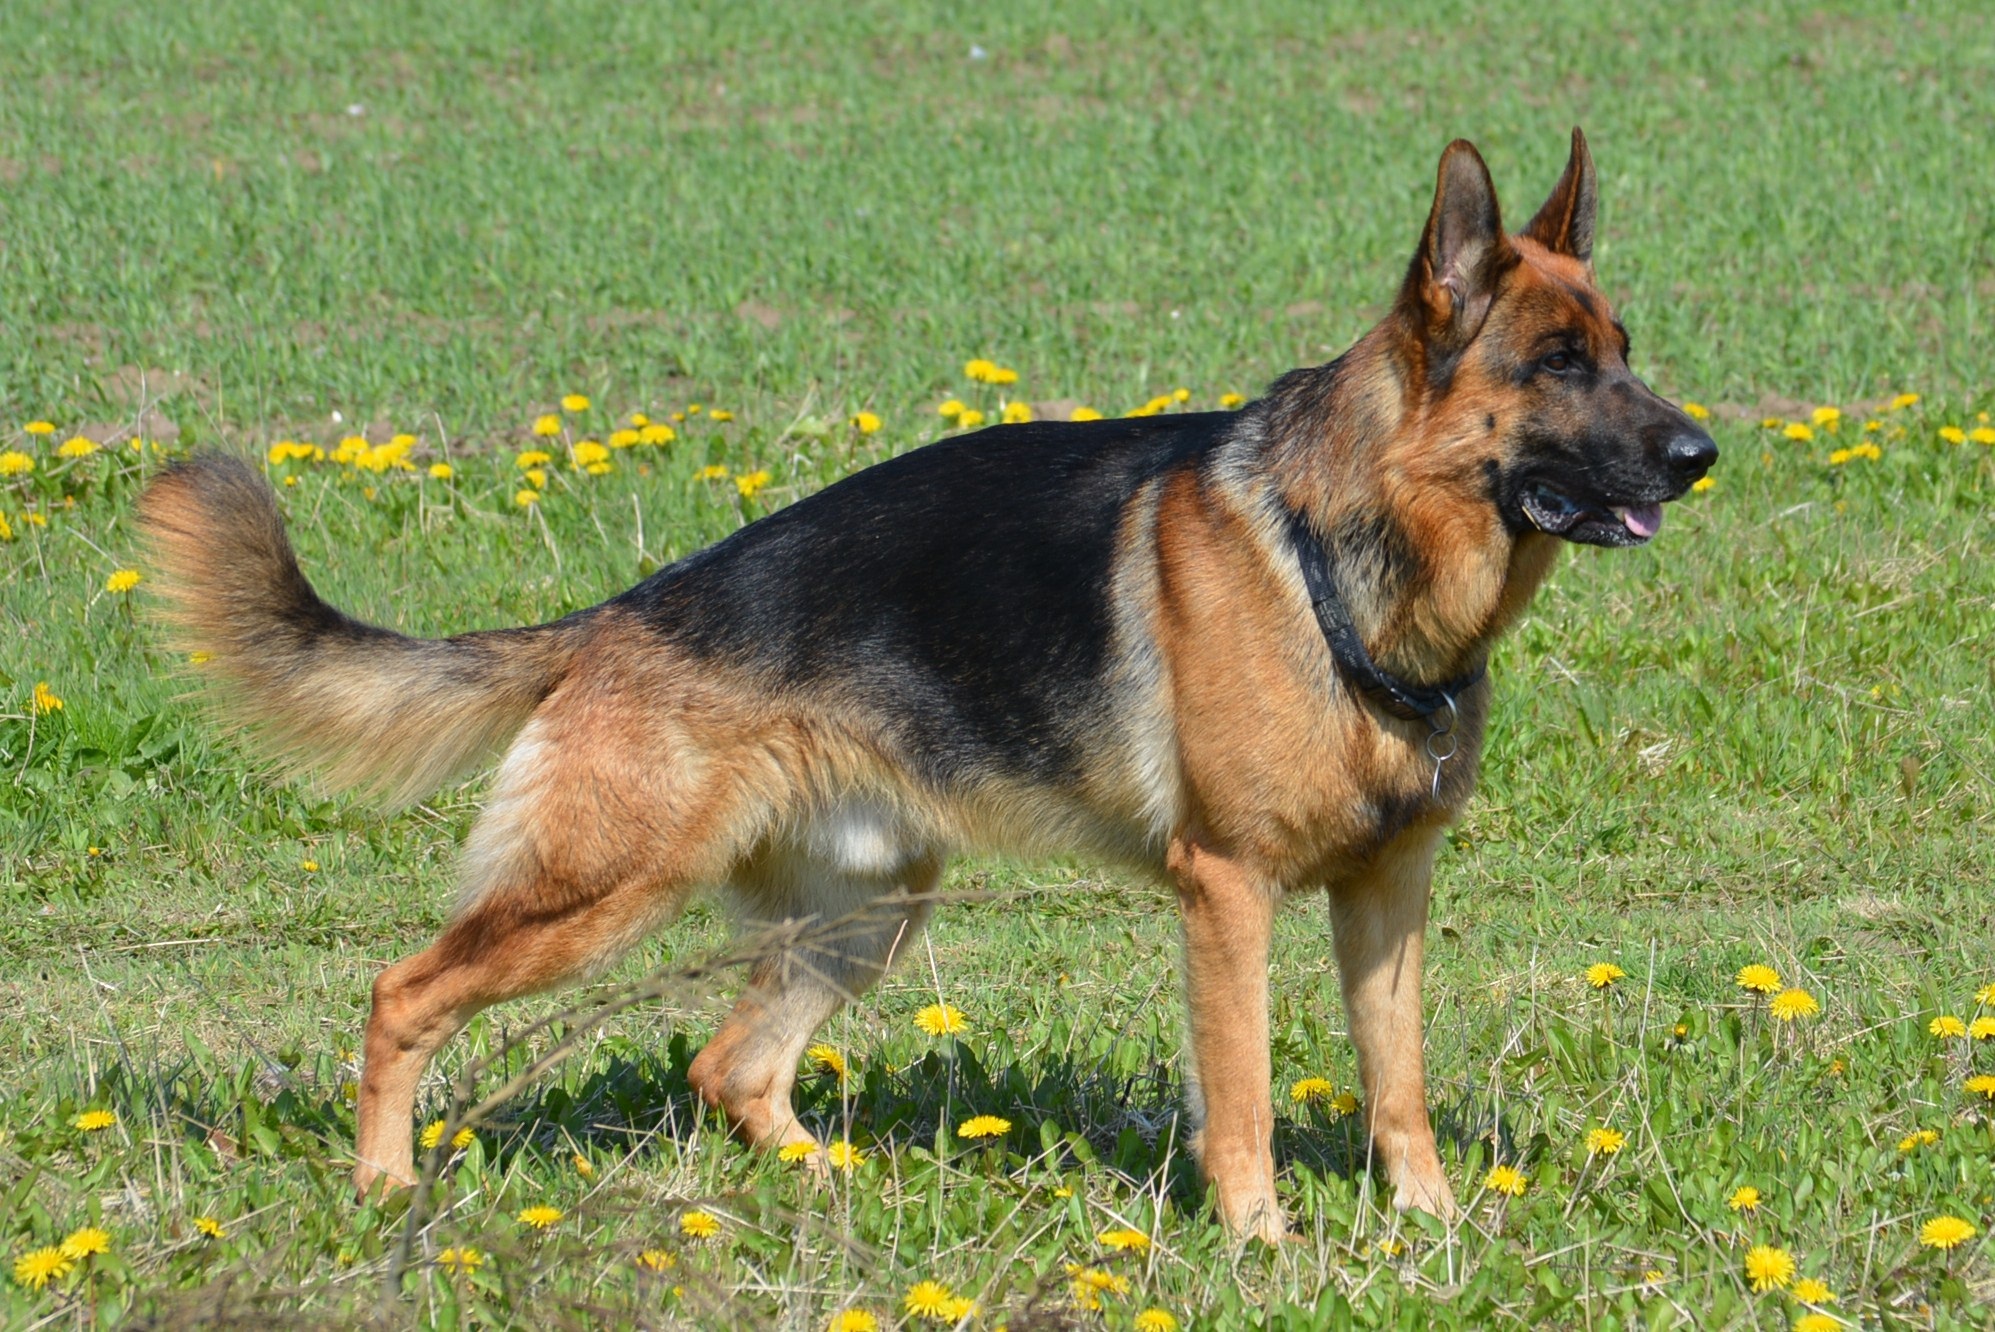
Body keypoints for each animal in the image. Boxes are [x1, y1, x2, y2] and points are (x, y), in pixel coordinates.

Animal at [140, 129, 1715, 1244]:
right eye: (1557, 364)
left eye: (1624, 355)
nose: (1703, 454)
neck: (1339, 552)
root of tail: (622, 617)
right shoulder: (1230, 896)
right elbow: (1248, 1097)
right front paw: (1261, 1244)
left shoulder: (1386, 895)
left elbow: (1397, 1086)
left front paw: (1431, 1230)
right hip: (600, 891)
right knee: (402, 992)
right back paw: (384, 1189)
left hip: (868, 913)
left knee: (734, 1067)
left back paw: (830, 1187)